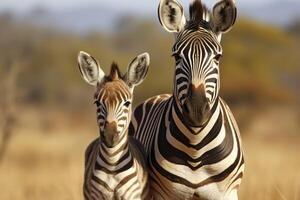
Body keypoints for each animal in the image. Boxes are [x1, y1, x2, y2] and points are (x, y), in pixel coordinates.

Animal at [78, 51, 151, 200]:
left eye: (127, 103)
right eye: (97, 103)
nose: (110, 136)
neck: (112, 164)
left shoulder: (132, 196)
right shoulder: (97, 196)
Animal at [130, 0, 245, 200]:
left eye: (217, 57)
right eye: (177, 56)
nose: (197, 110)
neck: (196, 147)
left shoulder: (227, 193)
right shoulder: (164, 194)